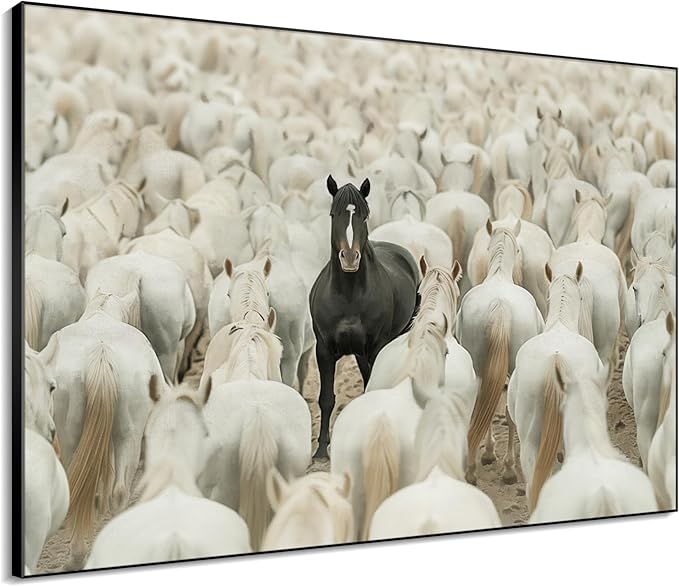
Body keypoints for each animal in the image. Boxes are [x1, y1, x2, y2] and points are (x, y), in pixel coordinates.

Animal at [310, 176, 419, 458]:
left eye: (364, 215)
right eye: (333, 214)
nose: (350, 258)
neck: (349, 295)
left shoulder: (376, 347)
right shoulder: (324, 350)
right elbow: (326, 398)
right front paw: (321, 450)